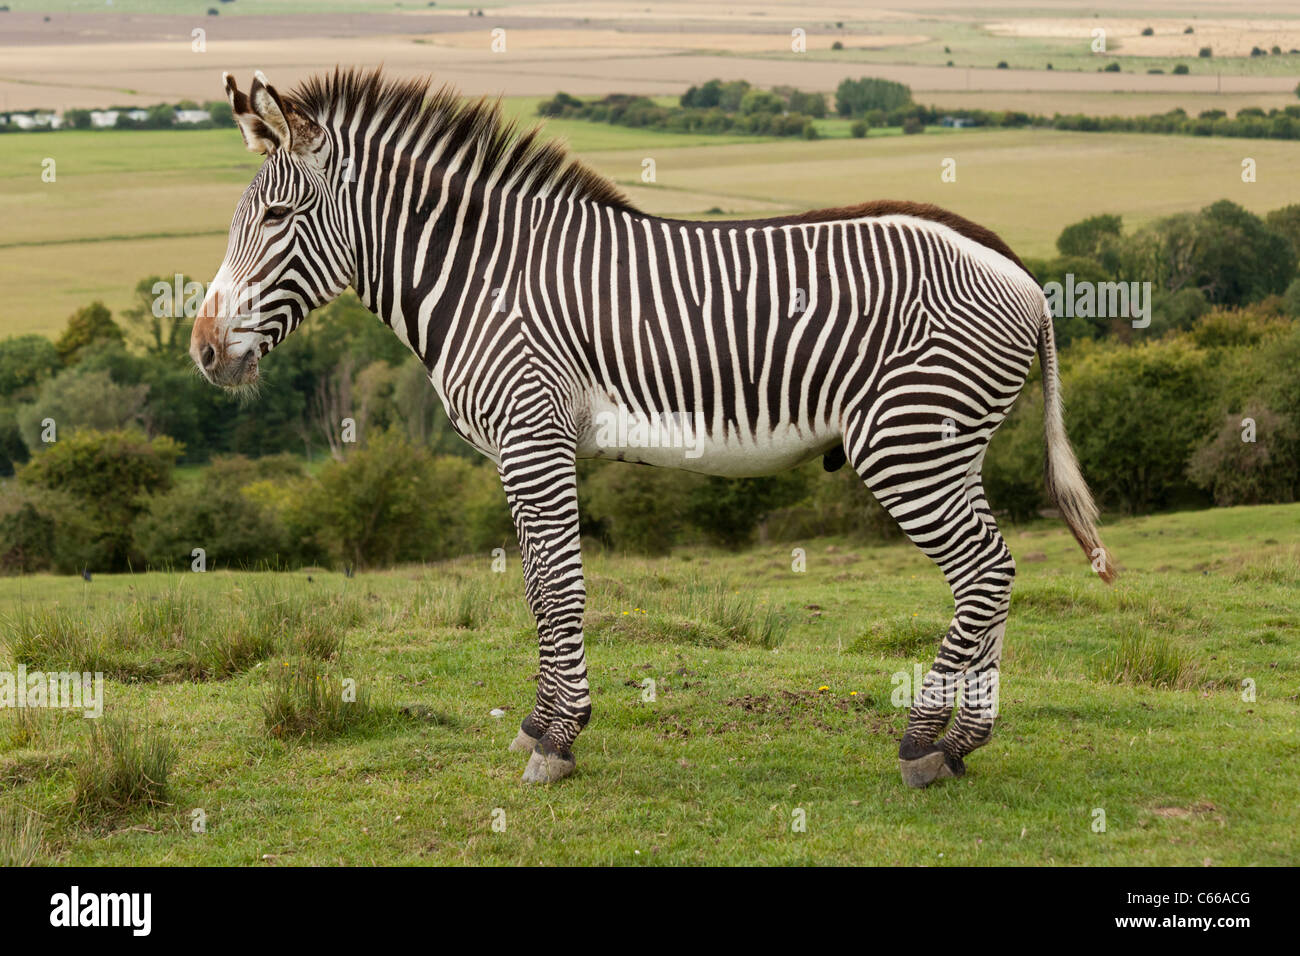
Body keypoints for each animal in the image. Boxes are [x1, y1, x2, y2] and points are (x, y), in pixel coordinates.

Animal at [191, 69, 1114, 788]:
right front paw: (541, 726)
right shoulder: (523, 450)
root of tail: (1015, 269)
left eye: (275, 218)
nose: (202, 350)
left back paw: (923, 741)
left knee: (985, 571)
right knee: (993, 573)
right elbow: (537, 588)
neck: (482, 275)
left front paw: (558, 741)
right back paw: (962, 745)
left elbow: (558, 588)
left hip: (908, 442)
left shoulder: (533, 436)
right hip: (950, 446)